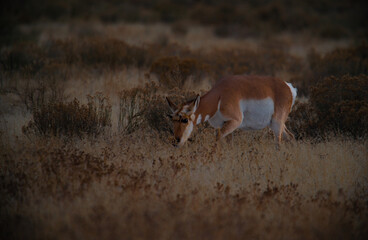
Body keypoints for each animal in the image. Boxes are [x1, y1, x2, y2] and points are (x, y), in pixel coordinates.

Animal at [166, 75, 296, 147]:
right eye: (172, 119)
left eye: (184, 120)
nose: (175, 141)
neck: (220, 96)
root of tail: (288, 86)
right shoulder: (224, 125)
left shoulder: (235, 121)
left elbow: (217, 138)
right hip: (276, 124)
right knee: (291, 137)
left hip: (277, 124)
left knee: (278, 143)